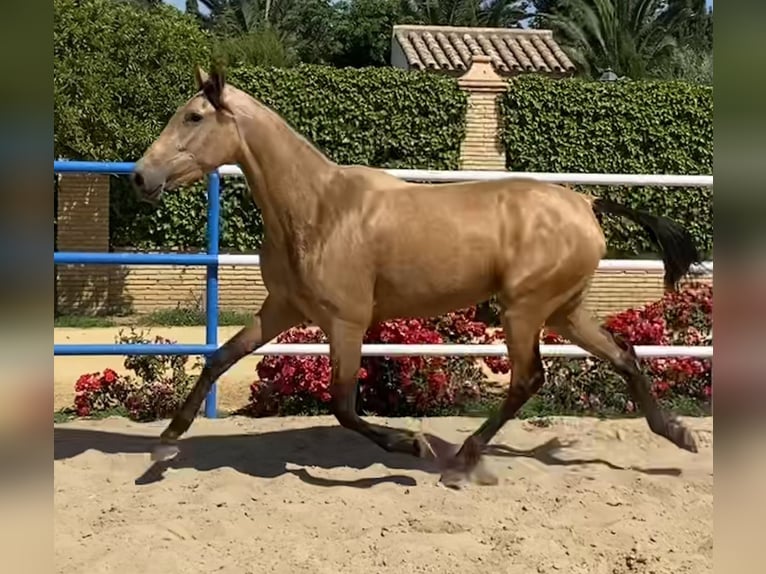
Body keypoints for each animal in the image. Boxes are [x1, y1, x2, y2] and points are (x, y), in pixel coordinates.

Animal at [130, 64, 704, 490]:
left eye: (193, 116)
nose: (140, 177)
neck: (318, 209)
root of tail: (587, 203)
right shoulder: (282, 308)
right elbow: (219, 359)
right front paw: (164, 444)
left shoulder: (346, 322)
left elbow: (341, 404)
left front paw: (413, 444)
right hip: (565, 310)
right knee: (624, 354)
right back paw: (678, 433)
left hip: (523, 310)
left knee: (528, 379)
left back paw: (462, 461)